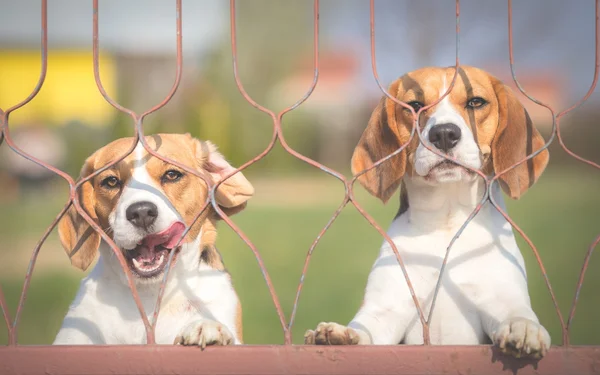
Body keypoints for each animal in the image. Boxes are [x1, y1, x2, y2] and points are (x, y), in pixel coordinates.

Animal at [308, 66, 552, 360]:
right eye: (414, 106)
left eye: (476, 102)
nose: (444, 133)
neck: (445, 221)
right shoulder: (386, 309)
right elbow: (366, 328)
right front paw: (339, 333)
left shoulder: (502, 298)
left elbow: (518, 314)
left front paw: (524, 328)